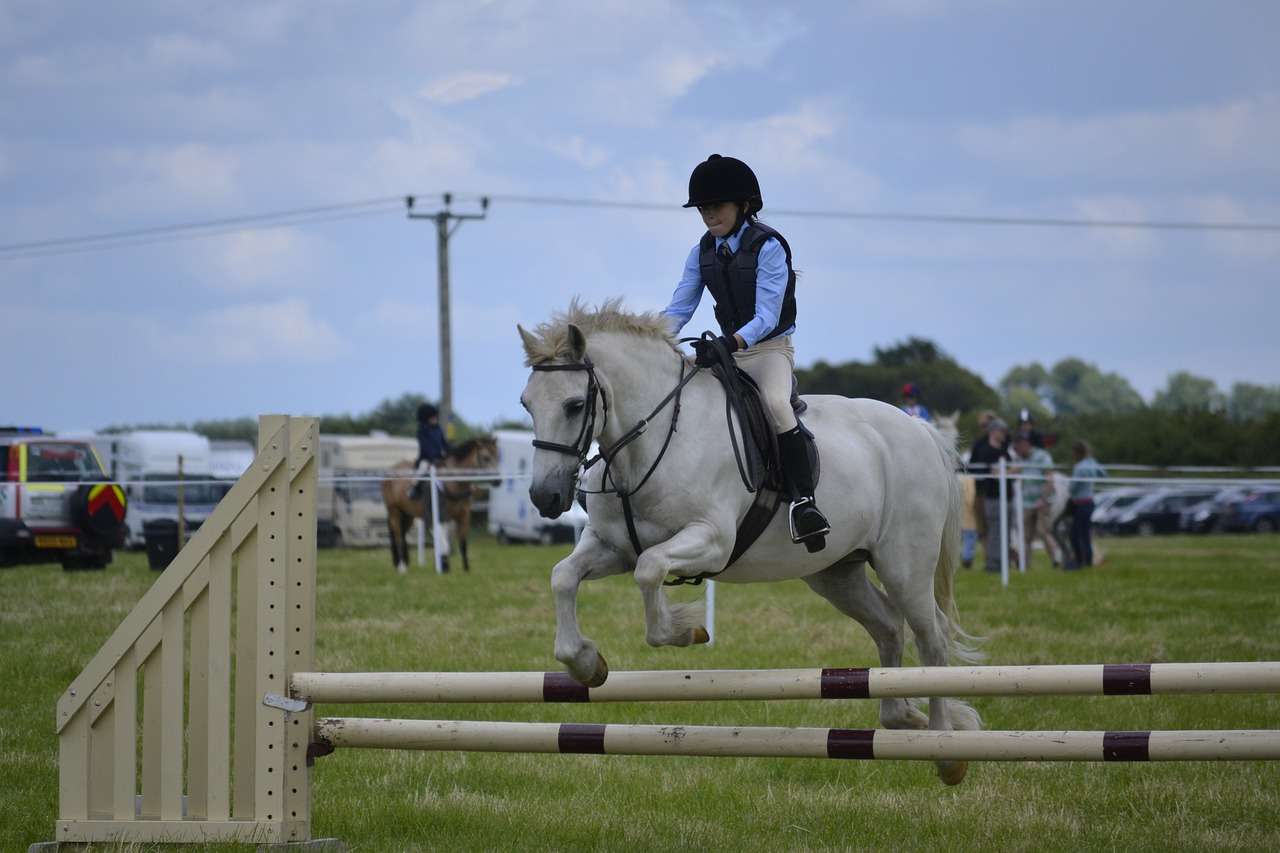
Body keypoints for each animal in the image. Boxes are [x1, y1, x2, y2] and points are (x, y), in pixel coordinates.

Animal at [376, 435, 496, 573]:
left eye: (498, 455)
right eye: (486, 457)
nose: (498, 481)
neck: (453, 482)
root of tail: (389, 471)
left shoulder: (464, 515)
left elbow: (462, 542)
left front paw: (465, 569)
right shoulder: (441, 515)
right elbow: (443, 541)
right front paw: (444, 566)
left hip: (407, 515)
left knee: (402, 534)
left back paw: (403, 563)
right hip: (394, 511)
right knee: (397, 536)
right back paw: (402, 567)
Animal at [514, 298, 983, 783]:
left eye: (574, 405)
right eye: (526, 404)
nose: (545, 497)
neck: (655, 440)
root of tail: (920, 432)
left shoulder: (711, 540)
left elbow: (650, 571)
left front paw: (685, 630)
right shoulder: (612, 547)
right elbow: (563, 576)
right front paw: (587, 663)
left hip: (904, 566)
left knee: (931, 640)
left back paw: (946, 748)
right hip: (837, 573)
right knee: (889, 627)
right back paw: (905, 717)